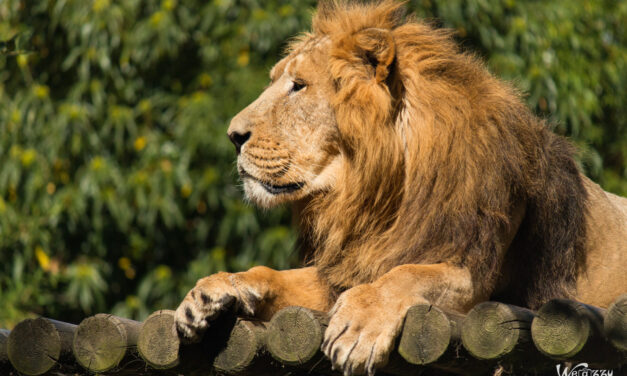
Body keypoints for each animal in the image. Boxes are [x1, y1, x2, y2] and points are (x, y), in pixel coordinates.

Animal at [174, 1, 624, 374]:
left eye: (299, 85)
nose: (233, 135)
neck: (377, 197)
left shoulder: (474, 274)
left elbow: (407, 273)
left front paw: (358, 326)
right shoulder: (344, 269)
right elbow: (275, 275)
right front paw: (213, 291)